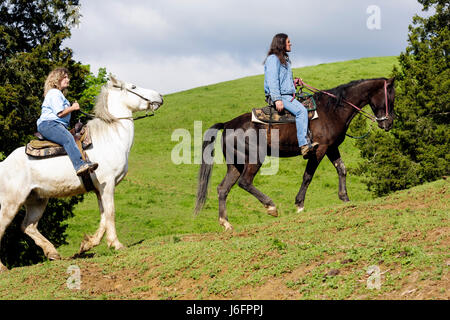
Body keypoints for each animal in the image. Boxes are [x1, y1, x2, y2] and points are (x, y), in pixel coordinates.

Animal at [0, 76, 164, 272]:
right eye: (133, 86)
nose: (160, 96)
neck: (111, 137)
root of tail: (3, 164)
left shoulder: (99, 189)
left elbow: (103, 216)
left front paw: (88, 244)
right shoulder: (108, 185)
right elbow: (111, 213)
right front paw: (117, 244)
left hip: (37, 200)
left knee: (28, 226)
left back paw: (52, 253)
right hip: (11, 202)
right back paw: (3, 267)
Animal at [195, 77, 396, 230]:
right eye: (391, 97)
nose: (388, 123)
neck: (332, 110)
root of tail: (228, 124)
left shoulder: (331, 148)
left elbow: (342, 169)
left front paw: (345, 198)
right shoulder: (319, 150)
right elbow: (308, 176)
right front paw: (299, 204)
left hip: (235, 164)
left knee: (223, 188)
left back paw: (226, 223)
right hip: (254, 159)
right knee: (245, 182)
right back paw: (271, 206)